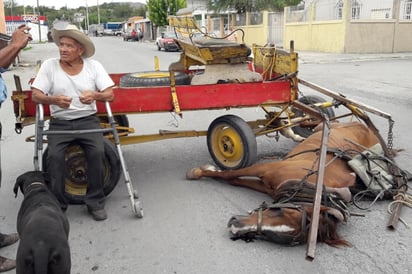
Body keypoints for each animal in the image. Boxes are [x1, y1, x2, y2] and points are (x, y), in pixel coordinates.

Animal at [187, 122, 400, 246]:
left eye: (275, 237)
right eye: (279, 211)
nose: (234, 226)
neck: (310, 183)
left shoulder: (267, 186)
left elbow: (234, 180)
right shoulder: (265, 168)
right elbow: (231, 174)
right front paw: (199, 172)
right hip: (324, 126)